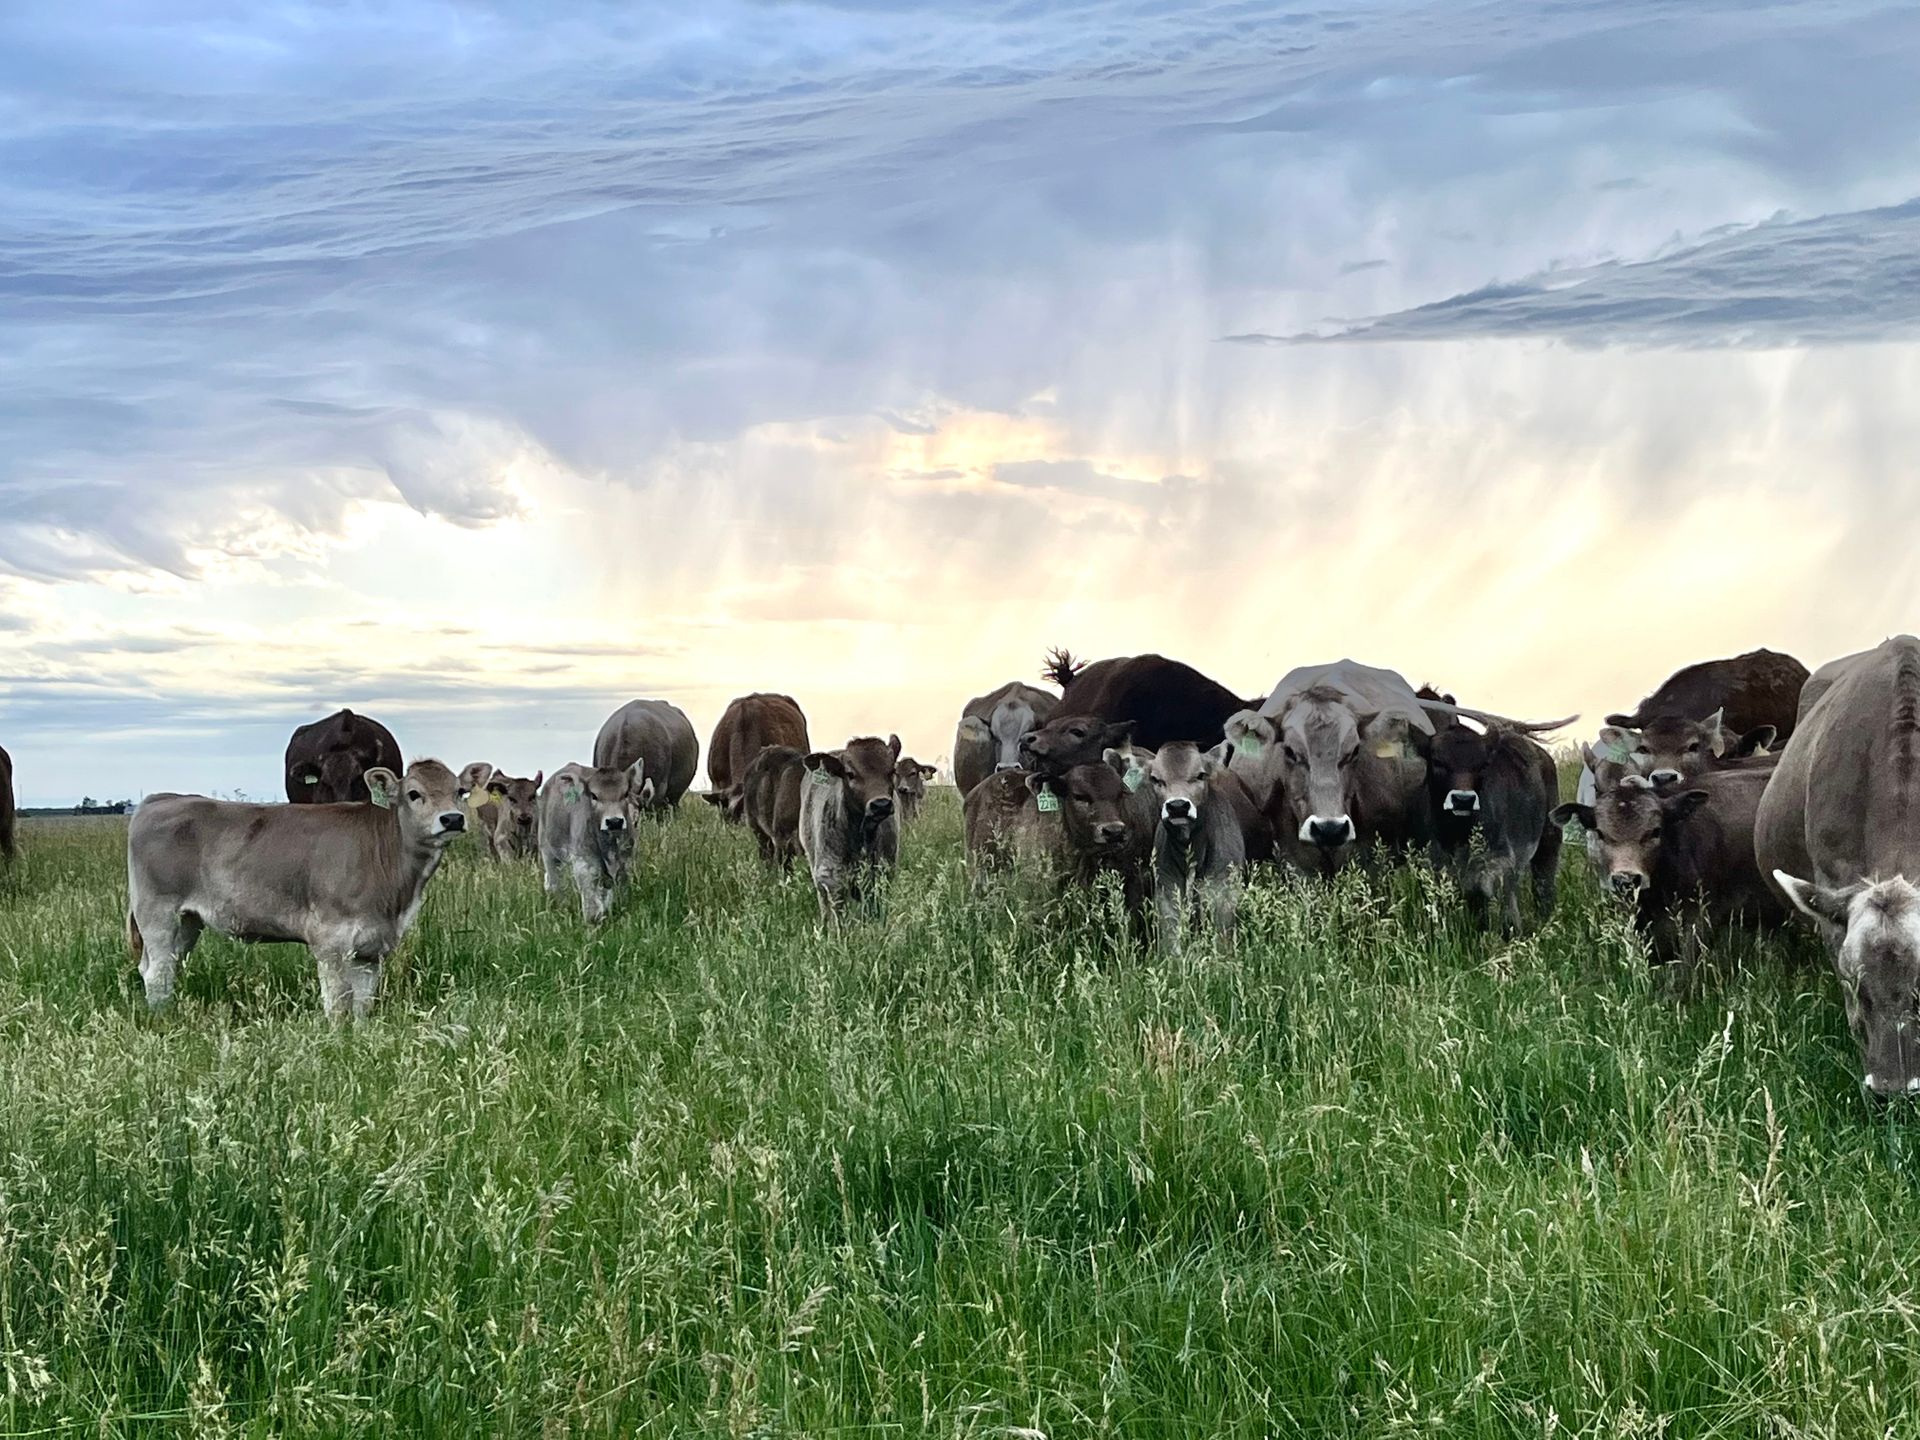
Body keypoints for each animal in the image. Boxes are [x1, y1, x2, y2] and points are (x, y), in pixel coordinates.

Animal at [127, 760, 468, 1021]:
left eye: (460, 792)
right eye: (414, 793)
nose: (452, 818)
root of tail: (162, 798)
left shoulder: (373, 946)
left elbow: (362, 1002)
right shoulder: (330, 939)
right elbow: (338, 1000)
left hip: (188, 920)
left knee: (168, 966)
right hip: (156, 911)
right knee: (156, 971)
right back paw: (162, 1021)